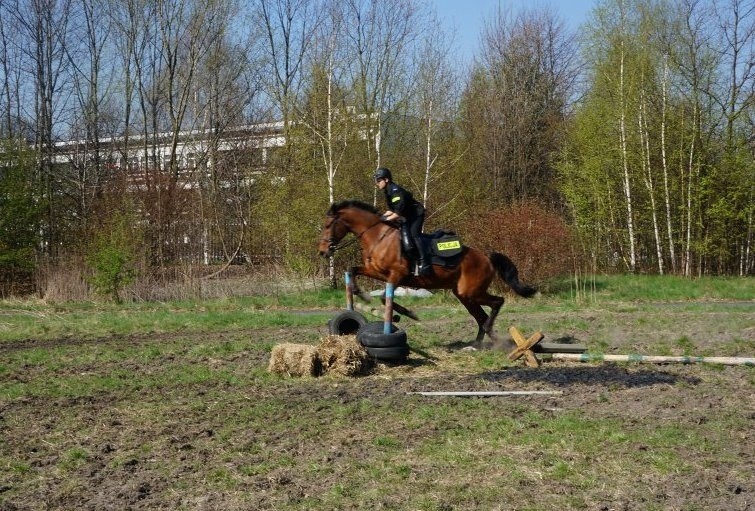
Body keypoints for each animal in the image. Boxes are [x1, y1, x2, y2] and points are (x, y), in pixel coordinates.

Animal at [318, 198, 536, 346]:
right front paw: (360, 294)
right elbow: (353, 270)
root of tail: (486, 256)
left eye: (328, 225)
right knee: (480, 316)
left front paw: (406, 314)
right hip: (465, 295)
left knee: (497, 303)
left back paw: (491, 336)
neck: (378, 236)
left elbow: (384, 298)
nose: (322, 251)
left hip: (471, 292)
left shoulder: (396, 275)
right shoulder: (377, 271)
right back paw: (480, 344)